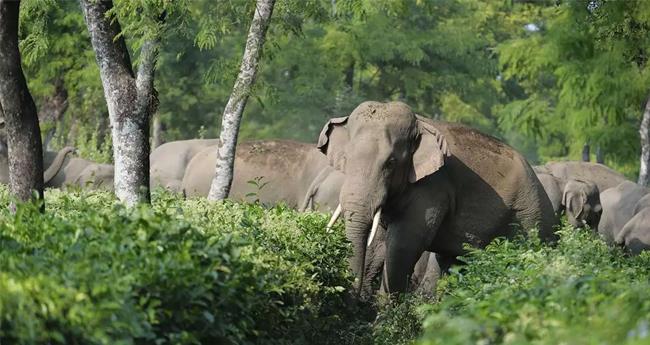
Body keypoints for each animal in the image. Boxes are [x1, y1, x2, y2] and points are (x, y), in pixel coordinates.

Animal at [316, 100, 556, 296]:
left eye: (391, 163)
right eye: (346, 158)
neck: (420, 124)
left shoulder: (433, 186)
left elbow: (403, 244)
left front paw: (385, 317)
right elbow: (381, 242)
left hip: (529, 221)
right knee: (452, 263)